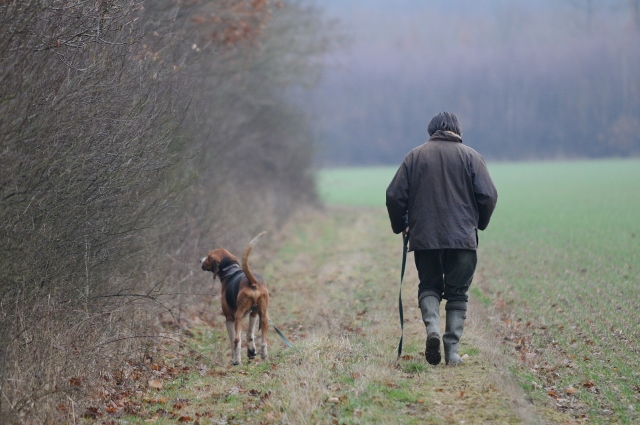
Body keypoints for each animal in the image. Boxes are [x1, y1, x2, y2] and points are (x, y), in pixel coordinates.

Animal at [201, 232, 268, 364]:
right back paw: (264, 355)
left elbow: (233, 341)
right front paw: (251, 352)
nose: (200, 260)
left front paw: (234, 357)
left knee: (237, 340)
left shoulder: (229, 318)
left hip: (238, 317)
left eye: (208, 256)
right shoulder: (254, 313)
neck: (230, 270)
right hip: (264, 316)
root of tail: (252, 282)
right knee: (263, 340)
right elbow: (250, 335)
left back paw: (236, 361)